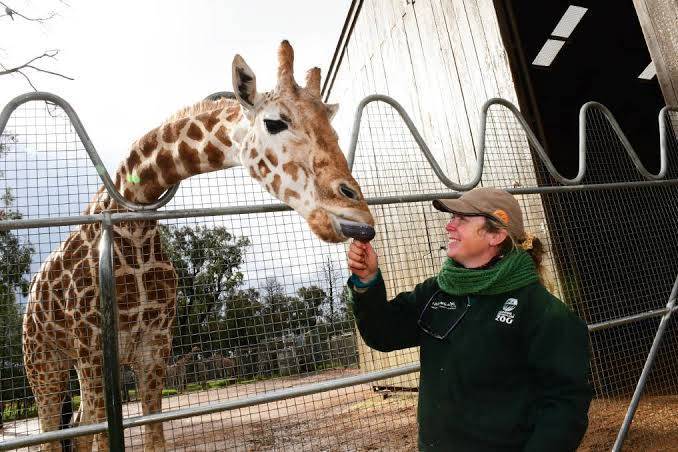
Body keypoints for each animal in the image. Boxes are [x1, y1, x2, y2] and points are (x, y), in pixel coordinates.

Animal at [21, 40, 374, 450]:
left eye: (332, 128)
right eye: (274, 122)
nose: (359, 215)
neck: (133, 226)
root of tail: (32, 296)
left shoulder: (154, 348)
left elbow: (153, 436)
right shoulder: (92, 348)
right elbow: (101, 435)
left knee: (75, 426)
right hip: (44, 364)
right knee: (55, 432)